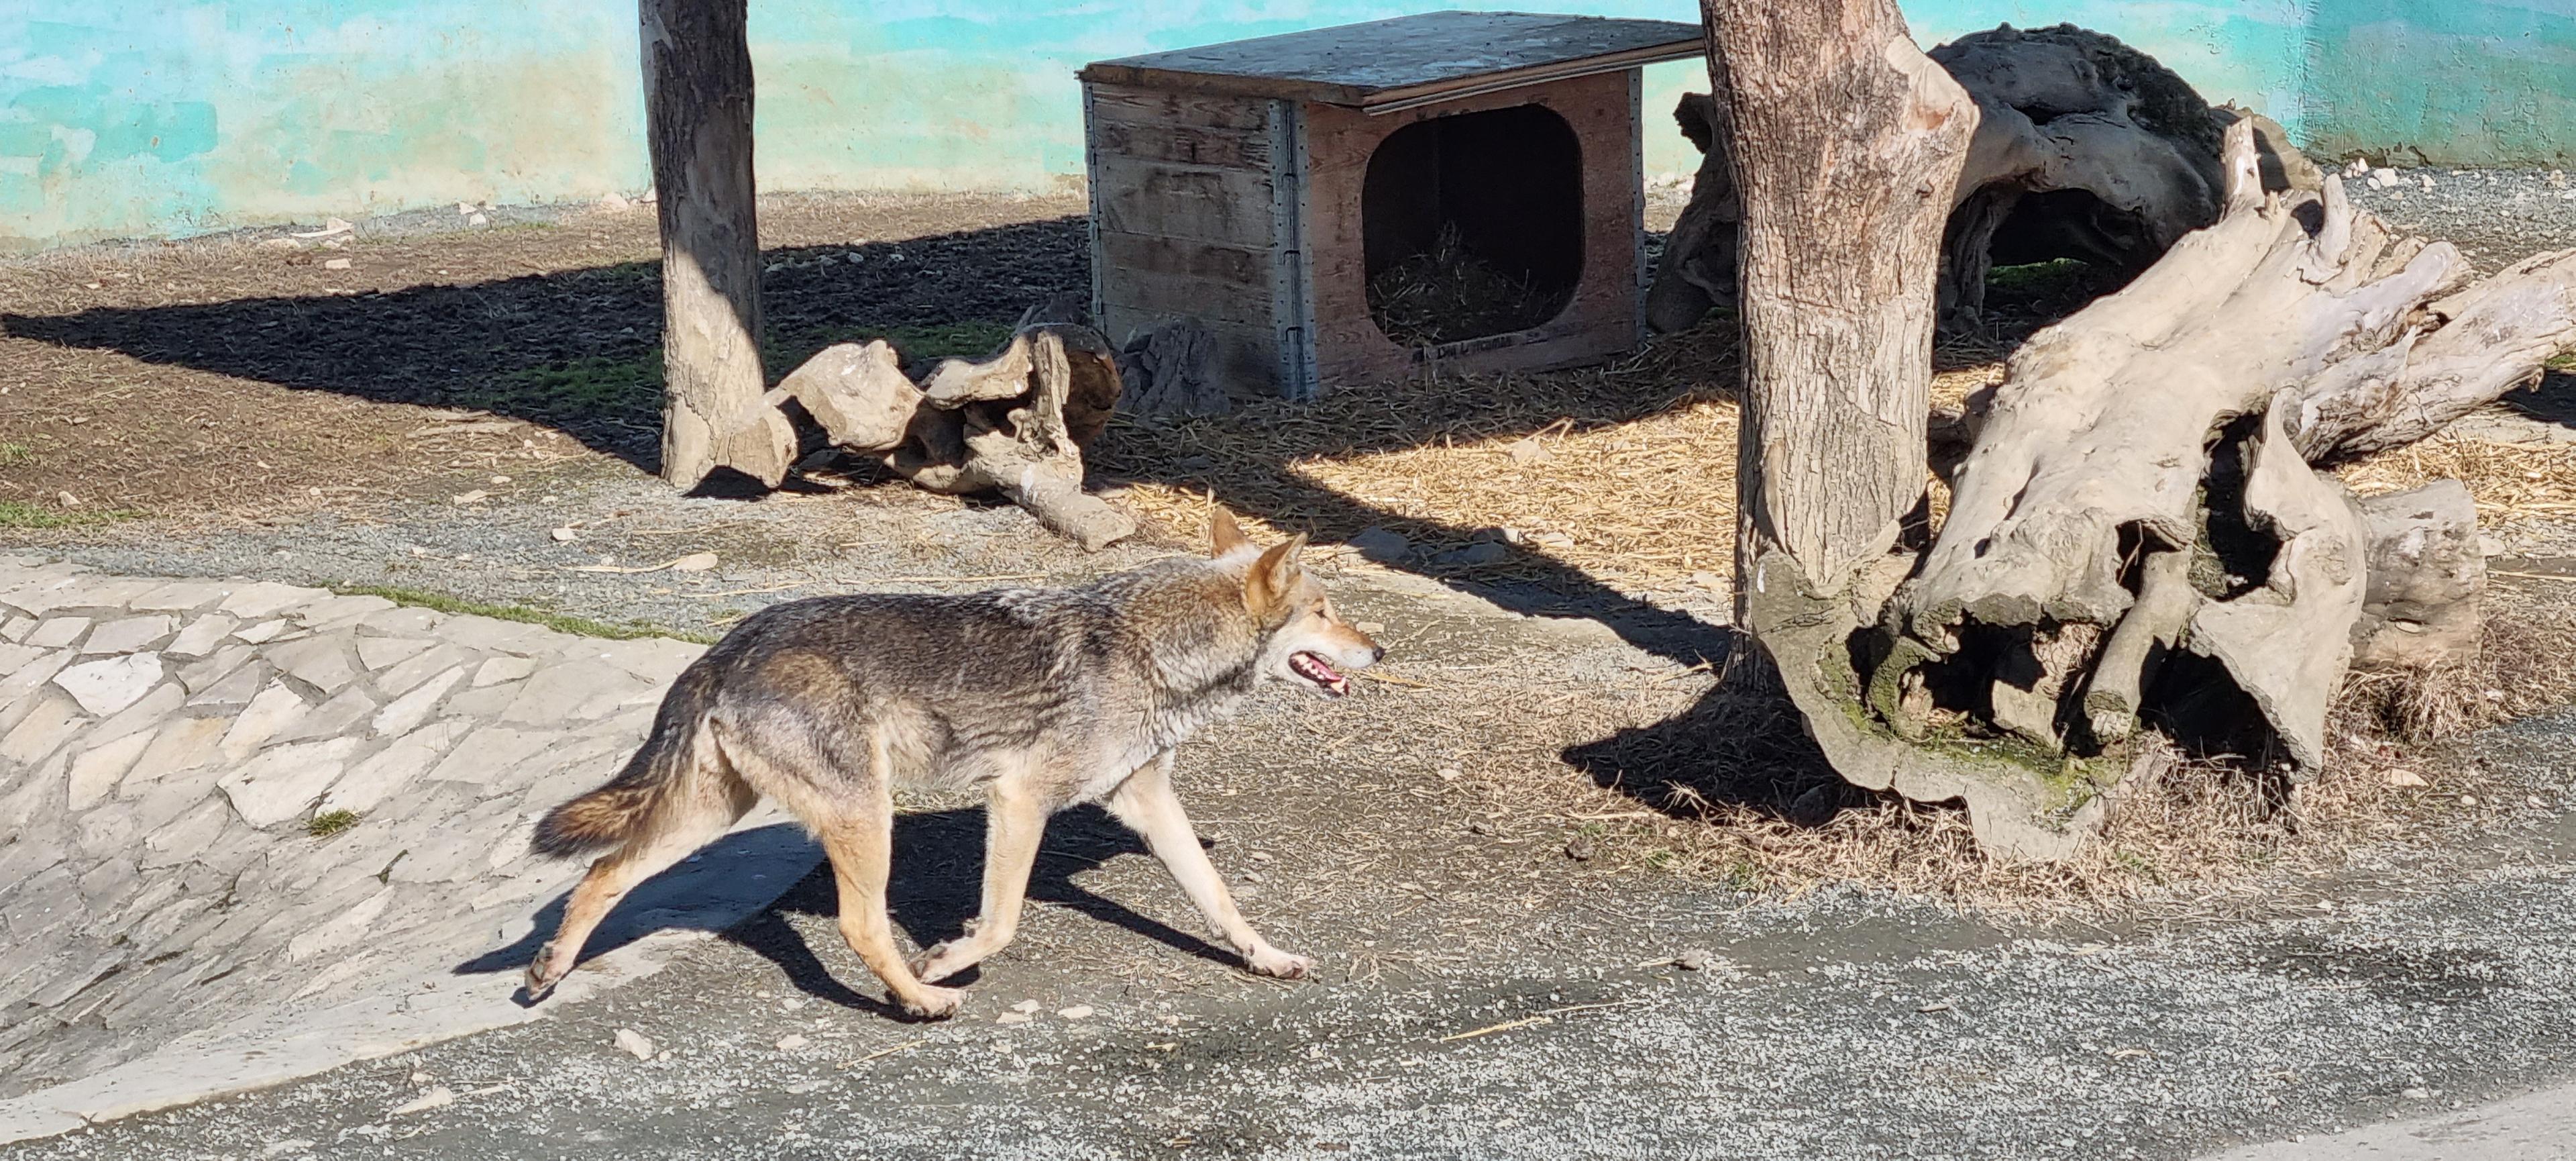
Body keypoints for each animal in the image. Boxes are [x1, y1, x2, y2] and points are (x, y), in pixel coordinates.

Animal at [520, 515, 1391, 1019]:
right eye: (1325, 612)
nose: (1381, 649)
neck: (1151, 649)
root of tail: (731, 642)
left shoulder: (1145, 800)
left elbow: (1219, 898)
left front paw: (1266, 957)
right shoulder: (1019, 799)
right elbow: (999, 922)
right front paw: (945, 956)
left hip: (711, 816)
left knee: (601, 874)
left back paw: (547, 971)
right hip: (865, 817)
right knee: (860, 922)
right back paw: (919, 998)